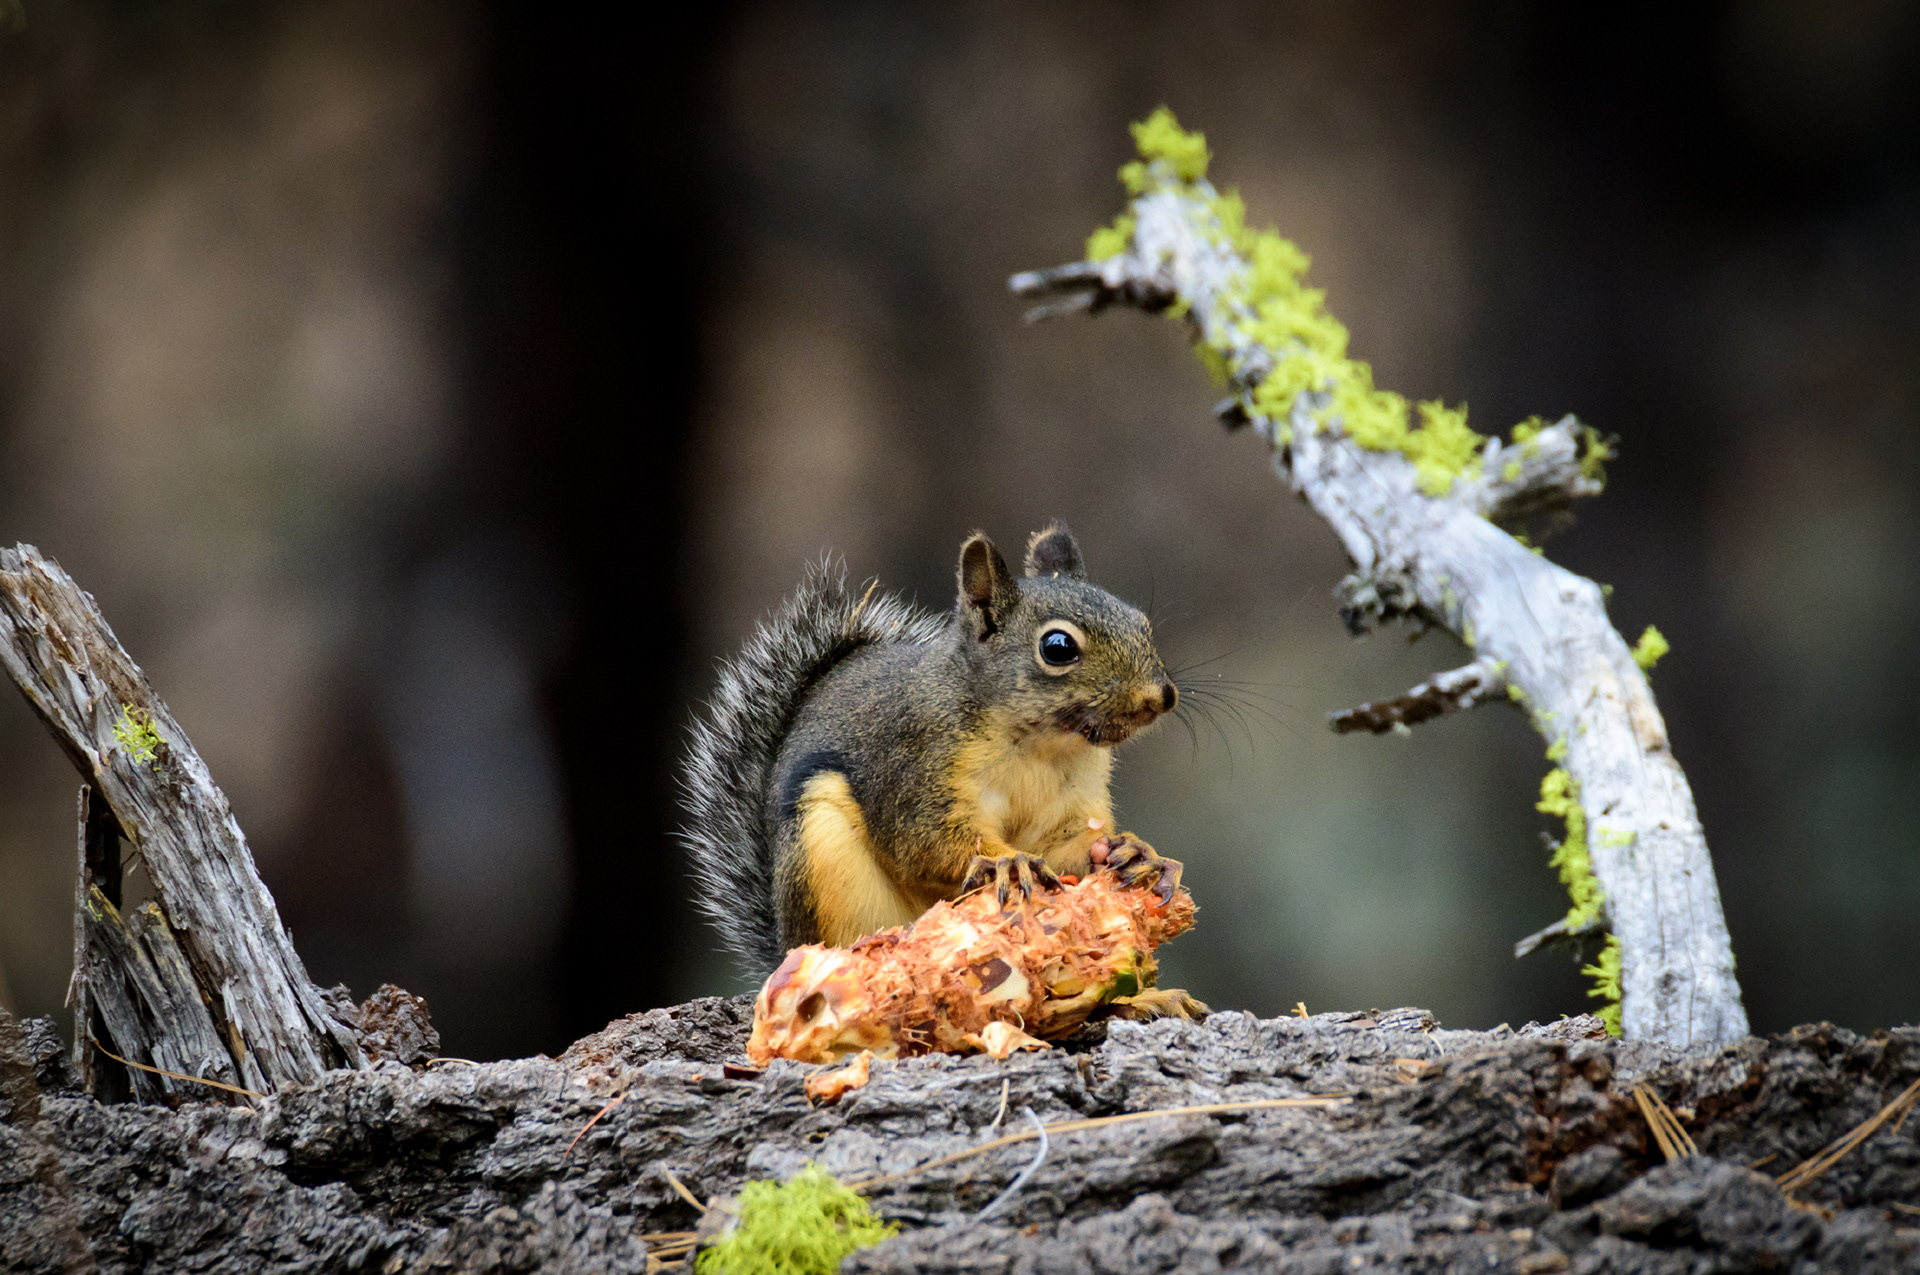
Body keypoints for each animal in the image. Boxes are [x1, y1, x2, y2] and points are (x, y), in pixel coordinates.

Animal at [683, 522, 1199, 1014]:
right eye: (1058, 647)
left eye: (1141, 623)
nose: (1160, 697)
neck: (1041, 745)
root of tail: (785, 945)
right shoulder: (913, 764)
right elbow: (923, 842)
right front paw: (1005, 860)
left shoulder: (1073, 799)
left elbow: (1068, 846)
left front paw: (1132, 850)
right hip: (824, 859)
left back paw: (1145, 1000)